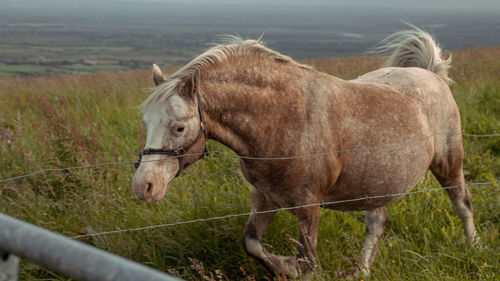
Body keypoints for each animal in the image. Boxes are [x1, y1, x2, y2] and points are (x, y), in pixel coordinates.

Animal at [131, 27, 478, 276]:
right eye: (146, 121)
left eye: (179, 127)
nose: (144, 186)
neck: (282, 119)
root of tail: (431, 73)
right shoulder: (266, 197)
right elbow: (252, 242)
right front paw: (284, 266)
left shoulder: (308, 205)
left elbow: (308, 260)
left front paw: (293, 267)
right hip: (376, 182)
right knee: (377, 222)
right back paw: (360, 271)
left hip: (449, 164)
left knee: (462, 205)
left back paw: (474, 251)